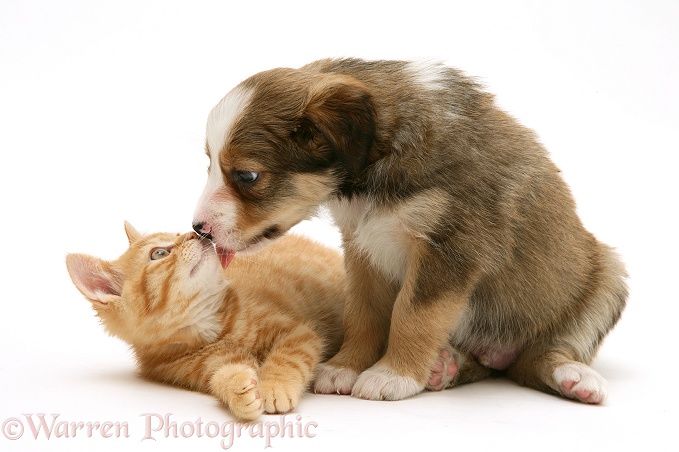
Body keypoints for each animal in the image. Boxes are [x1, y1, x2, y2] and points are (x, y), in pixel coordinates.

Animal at [65, 222, 346, 420]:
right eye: (158, 253)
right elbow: (220, 376)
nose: (193, 234)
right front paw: (238, 389)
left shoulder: (296, 331)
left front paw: (276, 386)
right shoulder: (194, 367)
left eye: (178, 233)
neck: (215, 328)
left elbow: (289, 356)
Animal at [191, 59, 628, 402]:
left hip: (607, 277)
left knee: (541, 358)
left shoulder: (449, 249)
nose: (199, 229)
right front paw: (346, 366)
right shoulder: (363, 247)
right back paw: (446, 367)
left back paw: (574, 377)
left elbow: (413, 315)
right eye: (209, 165)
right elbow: (364, 312)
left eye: (247, 175)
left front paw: (392, 375)